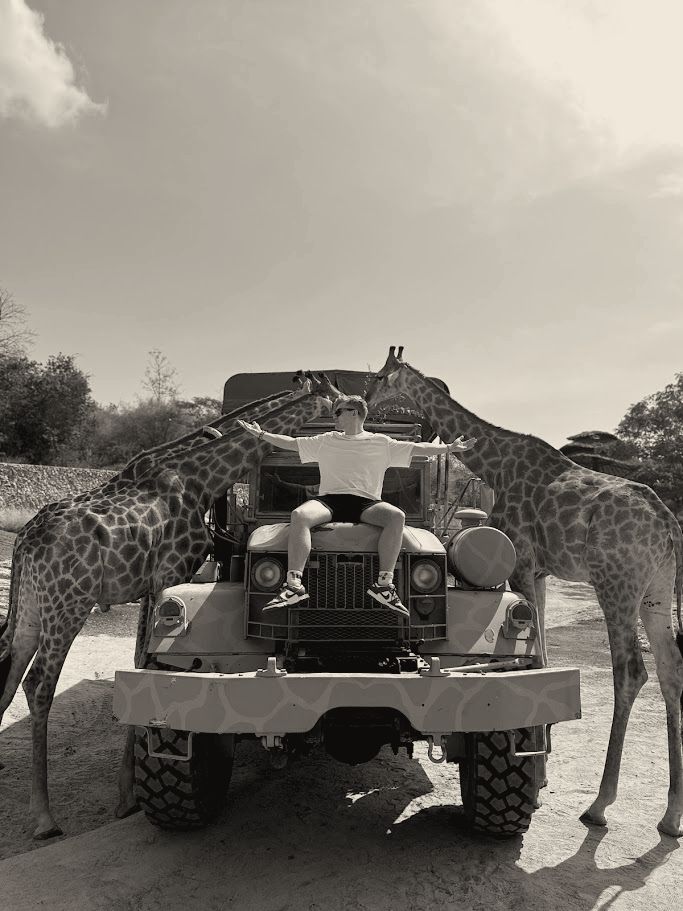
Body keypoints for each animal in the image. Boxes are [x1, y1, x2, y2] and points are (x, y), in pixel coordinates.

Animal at [0, 376, 334, 839]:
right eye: (336, 398)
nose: (357, 404)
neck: (200, 478)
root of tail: (24, 542)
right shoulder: (169, 575)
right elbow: (147, 666)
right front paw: (129, 795)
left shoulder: (150, 586)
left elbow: (140, 661)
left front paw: (126, 796)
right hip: (68, 603)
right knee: (38, 684)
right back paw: (45, 818)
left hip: (32, 608)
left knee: (10, 675)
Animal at [365, 347, 683, 838]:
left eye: (379, 377)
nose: (361, 402)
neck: (495, 464)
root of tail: (668, 525)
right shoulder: (542, 571)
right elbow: (543, 652)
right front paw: (542, 765)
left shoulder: (522, 562)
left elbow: (535, 659)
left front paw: (538, 765)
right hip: (658, 588)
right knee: (672, 670)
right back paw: (670, 815)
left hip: (616, 582)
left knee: (631, 671)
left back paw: (599, 804)